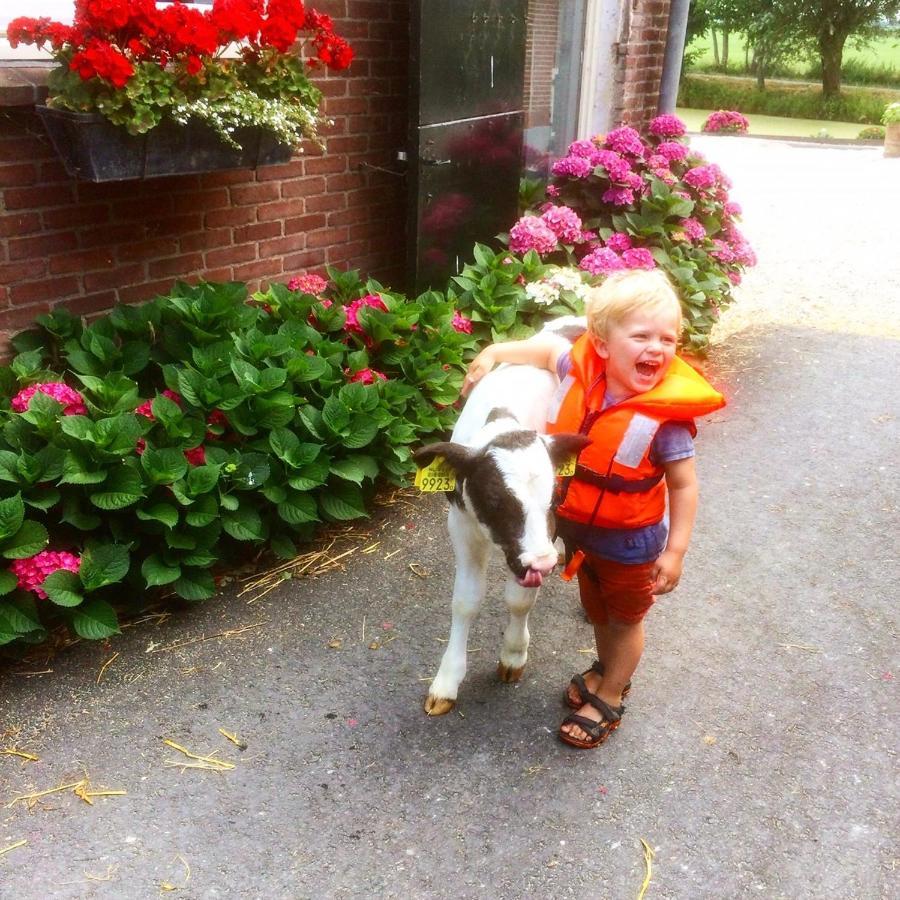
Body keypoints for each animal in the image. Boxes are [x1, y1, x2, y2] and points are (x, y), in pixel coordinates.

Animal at [416, 358, 592, 716]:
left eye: (555, 497)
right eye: (495, 500)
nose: (544, 562)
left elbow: (519, 599)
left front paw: (513, 655)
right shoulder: (462, 526)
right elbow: (466, 600)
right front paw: (447, 681)